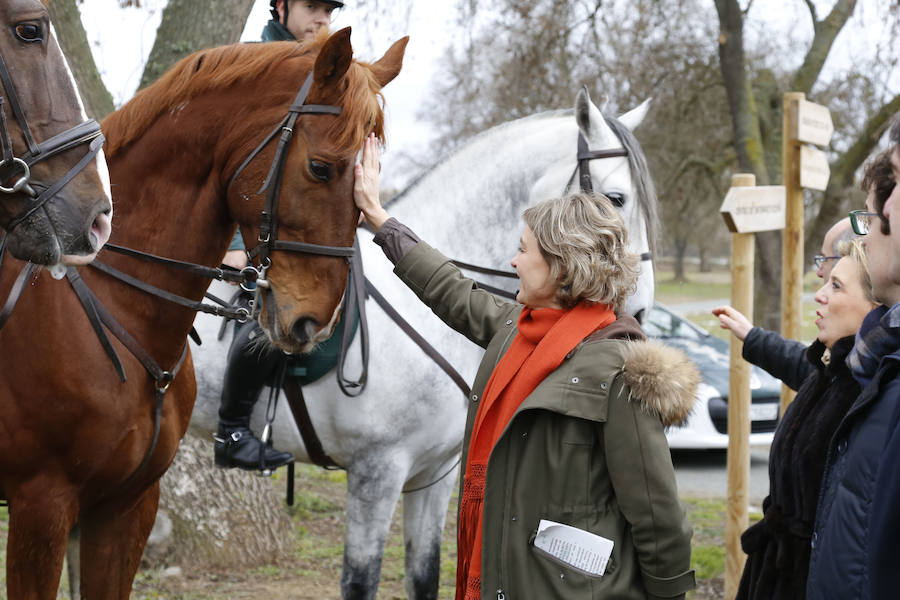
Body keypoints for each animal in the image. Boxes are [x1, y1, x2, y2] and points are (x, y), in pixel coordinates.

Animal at [188, 90, 652, 600]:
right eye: (617, 198)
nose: (638, 312)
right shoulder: (377, 473)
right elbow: (360, 582)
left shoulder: (433, 478)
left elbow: (424, 576)